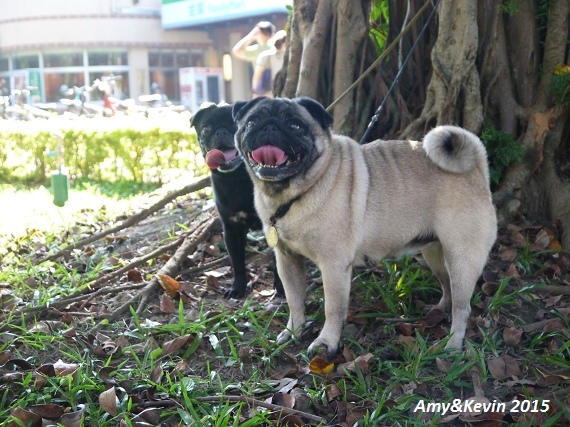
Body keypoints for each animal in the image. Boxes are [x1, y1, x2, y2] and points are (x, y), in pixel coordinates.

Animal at [190, 103, 284, 298]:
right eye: (206, 129)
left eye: (238, 125)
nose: (221, 131)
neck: (237, 179)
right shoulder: (232, 230)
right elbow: (237, 263)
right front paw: (237, 288)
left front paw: (281, 288)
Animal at [232, 96, 497, 357]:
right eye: (251, 122)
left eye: (295, 125)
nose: (269, 126)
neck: (294, 193)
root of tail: (477, 169)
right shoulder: (287, 261)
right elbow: (294, 300)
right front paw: (294, 331)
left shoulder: (334, 266)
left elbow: (333, 309)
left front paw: (326, 343)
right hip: (435, 253)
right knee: (447, 286)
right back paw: (439, 311)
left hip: (461, 258)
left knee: (462, 307)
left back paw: (452, 345)